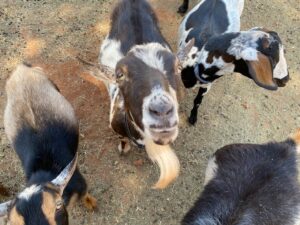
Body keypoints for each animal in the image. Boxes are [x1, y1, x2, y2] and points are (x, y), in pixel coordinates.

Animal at [0, 64, 96, 225]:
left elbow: (85, 194)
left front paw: (91, 203)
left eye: (58, 205)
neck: (45, 169)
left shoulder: (81, 184)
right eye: (13, 223)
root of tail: (20, 68)